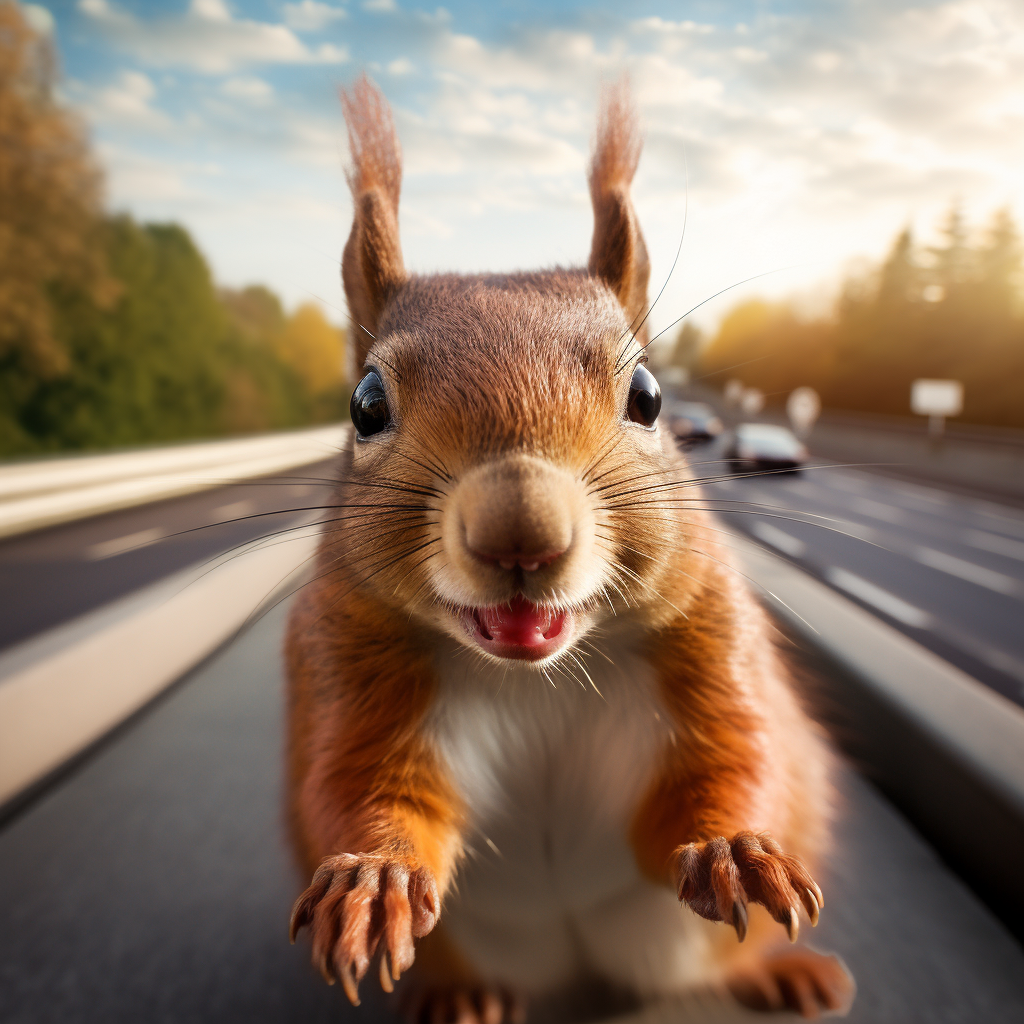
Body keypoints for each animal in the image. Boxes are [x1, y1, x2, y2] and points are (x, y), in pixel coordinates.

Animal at [284, 74, 851, 1024]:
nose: (521, 531)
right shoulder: (347, 662)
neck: (537, 676)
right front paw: (373, 880)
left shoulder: (709, 641)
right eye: (365, 405)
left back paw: (780, 973)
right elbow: (363, 785)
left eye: (649, 395)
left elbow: (736, 755)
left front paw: (737, 850)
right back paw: (464, 996)